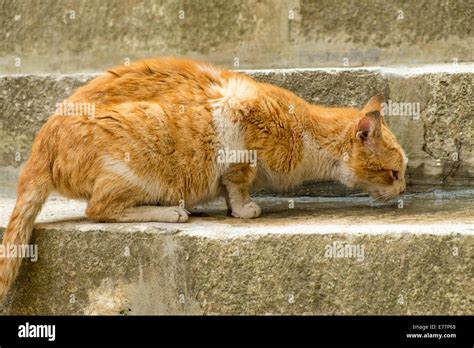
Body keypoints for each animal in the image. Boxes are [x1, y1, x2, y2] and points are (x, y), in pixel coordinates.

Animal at [0, 57, 408, 302]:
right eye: (394, 172)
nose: (404, 187)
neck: (305, 132)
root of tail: (42, 141)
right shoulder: (238, 138)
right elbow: (238, 186)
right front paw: (244, 209)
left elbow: (230, 190)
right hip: (137, 160)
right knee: (99, 210)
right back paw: (171, 212)